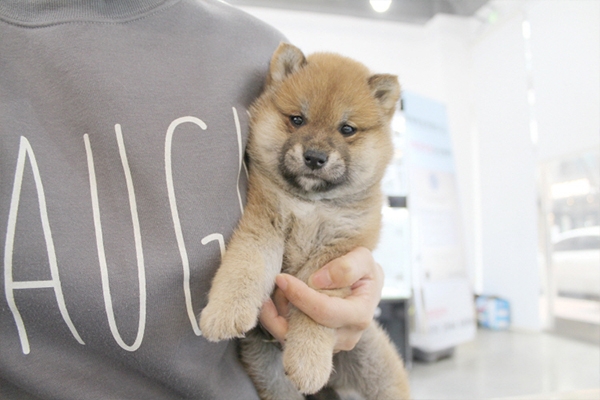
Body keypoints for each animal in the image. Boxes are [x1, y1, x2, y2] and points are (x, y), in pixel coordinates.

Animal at [199, 43, 410, 400]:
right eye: (297, 120)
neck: (311, 204)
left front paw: (309, 361)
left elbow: (315, 309)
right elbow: (243, 269)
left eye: (346, 129)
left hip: (374, 362)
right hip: (269, 370)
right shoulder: (264, 226)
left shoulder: (335, 253)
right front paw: (223, 313)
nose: (314, 157)